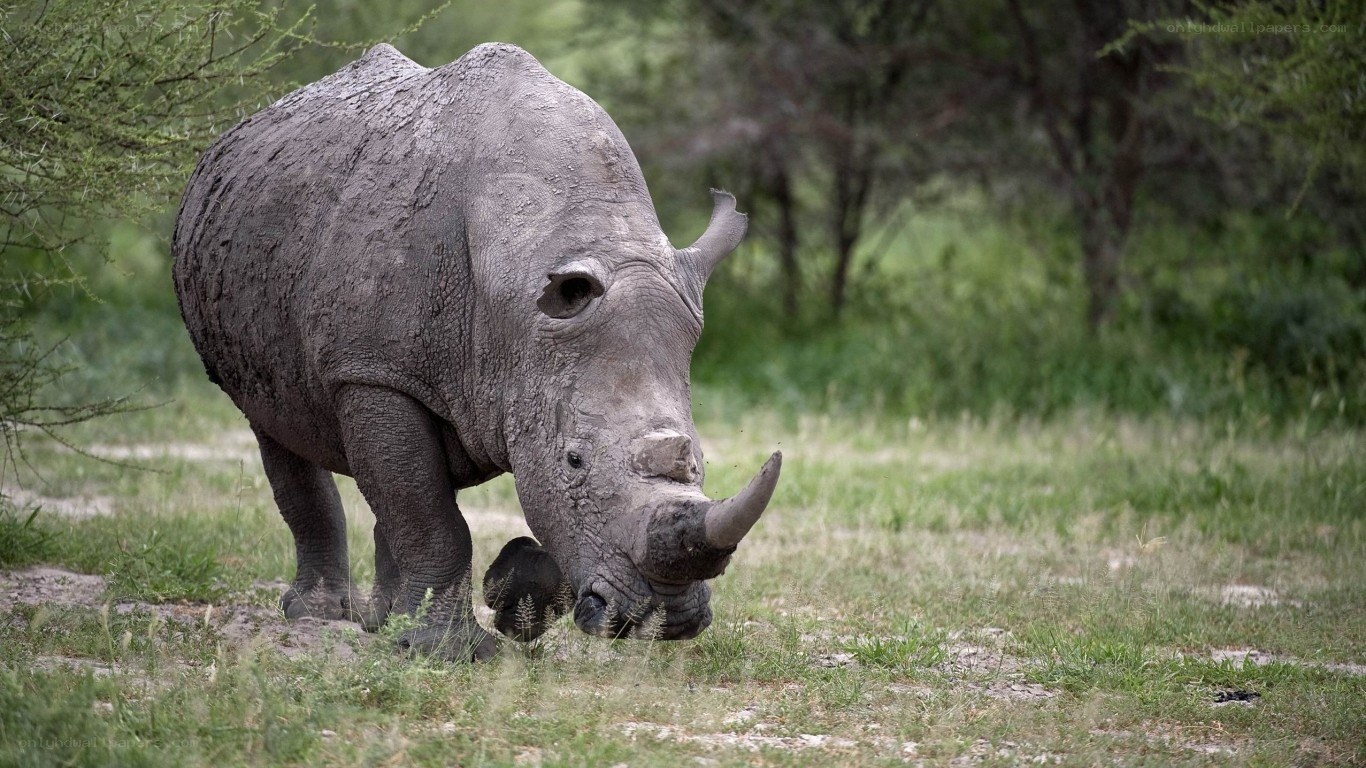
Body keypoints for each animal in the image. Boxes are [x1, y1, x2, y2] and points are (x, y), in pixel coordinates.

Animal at [172, 43, 781, 660]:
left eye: (699, 460)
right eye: (574, 460)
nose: (666, 619)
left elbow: (432, 502)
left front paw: (509, 596)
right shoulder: (372, 372)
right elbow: (431, 517)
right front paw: (449, 652)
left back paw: (383, 624)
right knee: (277, 428)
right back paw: (321, 617)